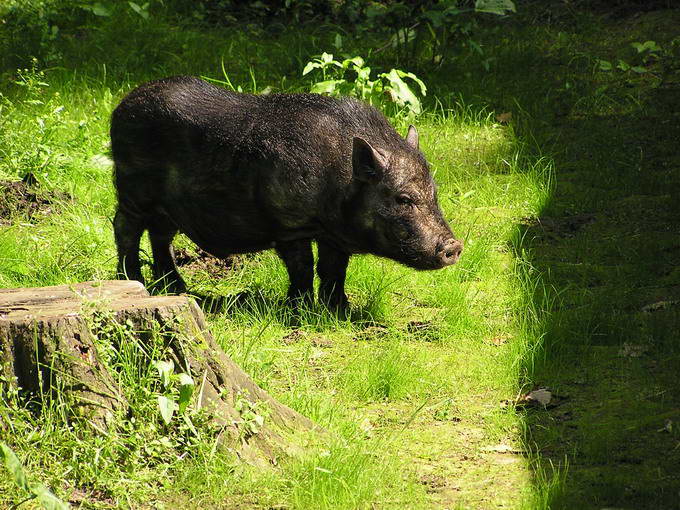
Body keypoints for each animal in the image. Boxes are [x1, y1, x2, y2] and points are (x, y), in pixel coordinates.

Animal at [111, 76, 462, 310]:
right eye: (403, 199)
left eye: (434, 193)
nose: (455, 246)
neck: (338, 178)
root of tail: (122, 104)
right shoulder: (290, 223)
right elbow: (303, 265)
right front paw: (300, 309)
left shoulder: (334, 236)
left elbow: (334, 269)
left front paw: (339, 310)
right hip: (132, 187)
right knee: (125, 227)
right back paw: (134, 282)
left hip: (168, 206)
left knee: (160, 235)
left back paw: (177, 288)